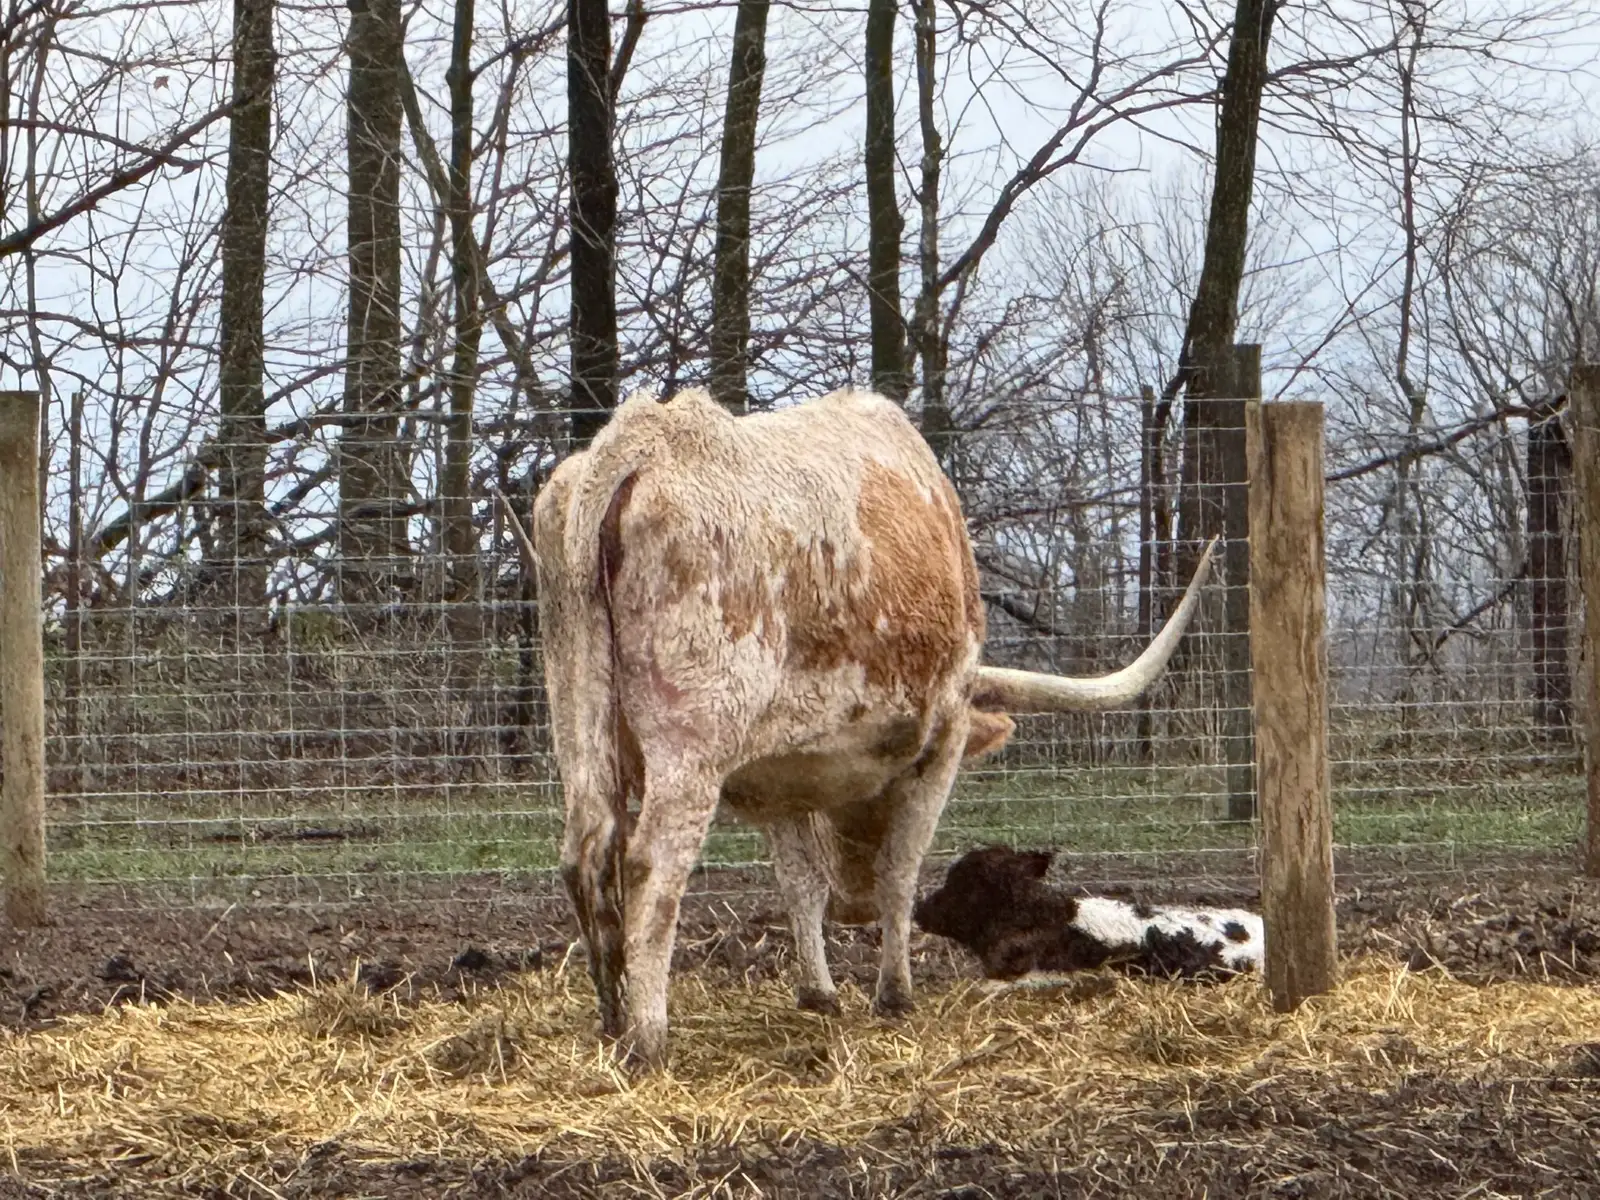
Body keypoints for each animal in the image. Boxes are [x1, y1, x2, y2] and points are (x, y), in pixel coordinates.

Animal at [511, 386, 1215, 1069]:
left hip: (578, 720)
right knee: (651, 865)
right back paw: (648, 1038)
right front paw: (894, 992)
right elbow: (899, 871)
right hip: (690, 747)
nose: (855, 907)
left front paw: (819, 992)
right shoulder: (941, 740)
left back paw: (611, 1018)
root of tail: (645, 437)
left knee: (586, 851)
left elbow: (800, 880)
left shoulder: (775, 776)